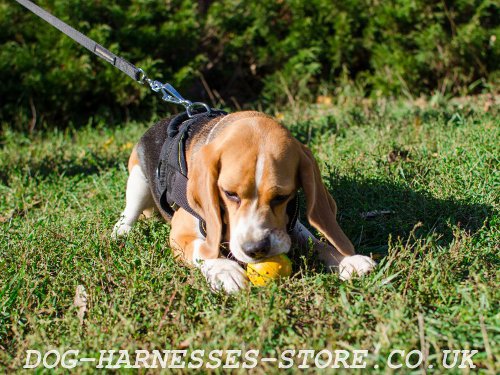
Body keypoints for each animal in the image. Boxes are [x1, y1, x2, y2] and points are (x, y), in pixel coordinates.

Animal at [111, 111, 374, 294]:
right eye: (230, 194)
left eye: (282, 196)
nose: (256, 249)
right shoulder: (179, 235)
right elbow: (203, 248)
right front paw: (225, 270)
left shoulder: (291, 225)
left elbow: (316, 243)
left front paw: (347, 260)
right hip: (137, 180)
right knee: (128, 214)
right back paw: (120, 232)